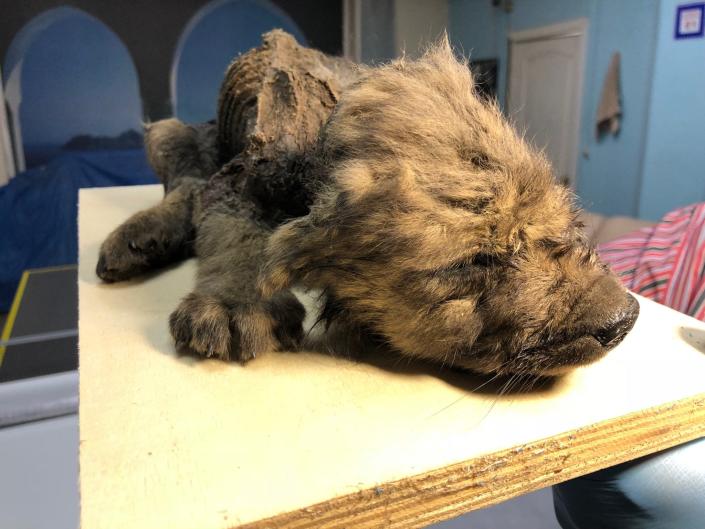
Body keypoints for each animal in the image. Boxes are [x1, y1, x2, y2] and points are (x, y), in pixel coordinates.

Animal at [97, 29, 640, 376]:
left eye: (567, 221)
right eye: (473, 262)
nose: (623, 320)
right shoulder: (237, 183)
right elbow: (235, 234)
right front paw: (234, 302)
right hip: (172, 135)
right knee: (185, 182)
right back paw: (140, 236)